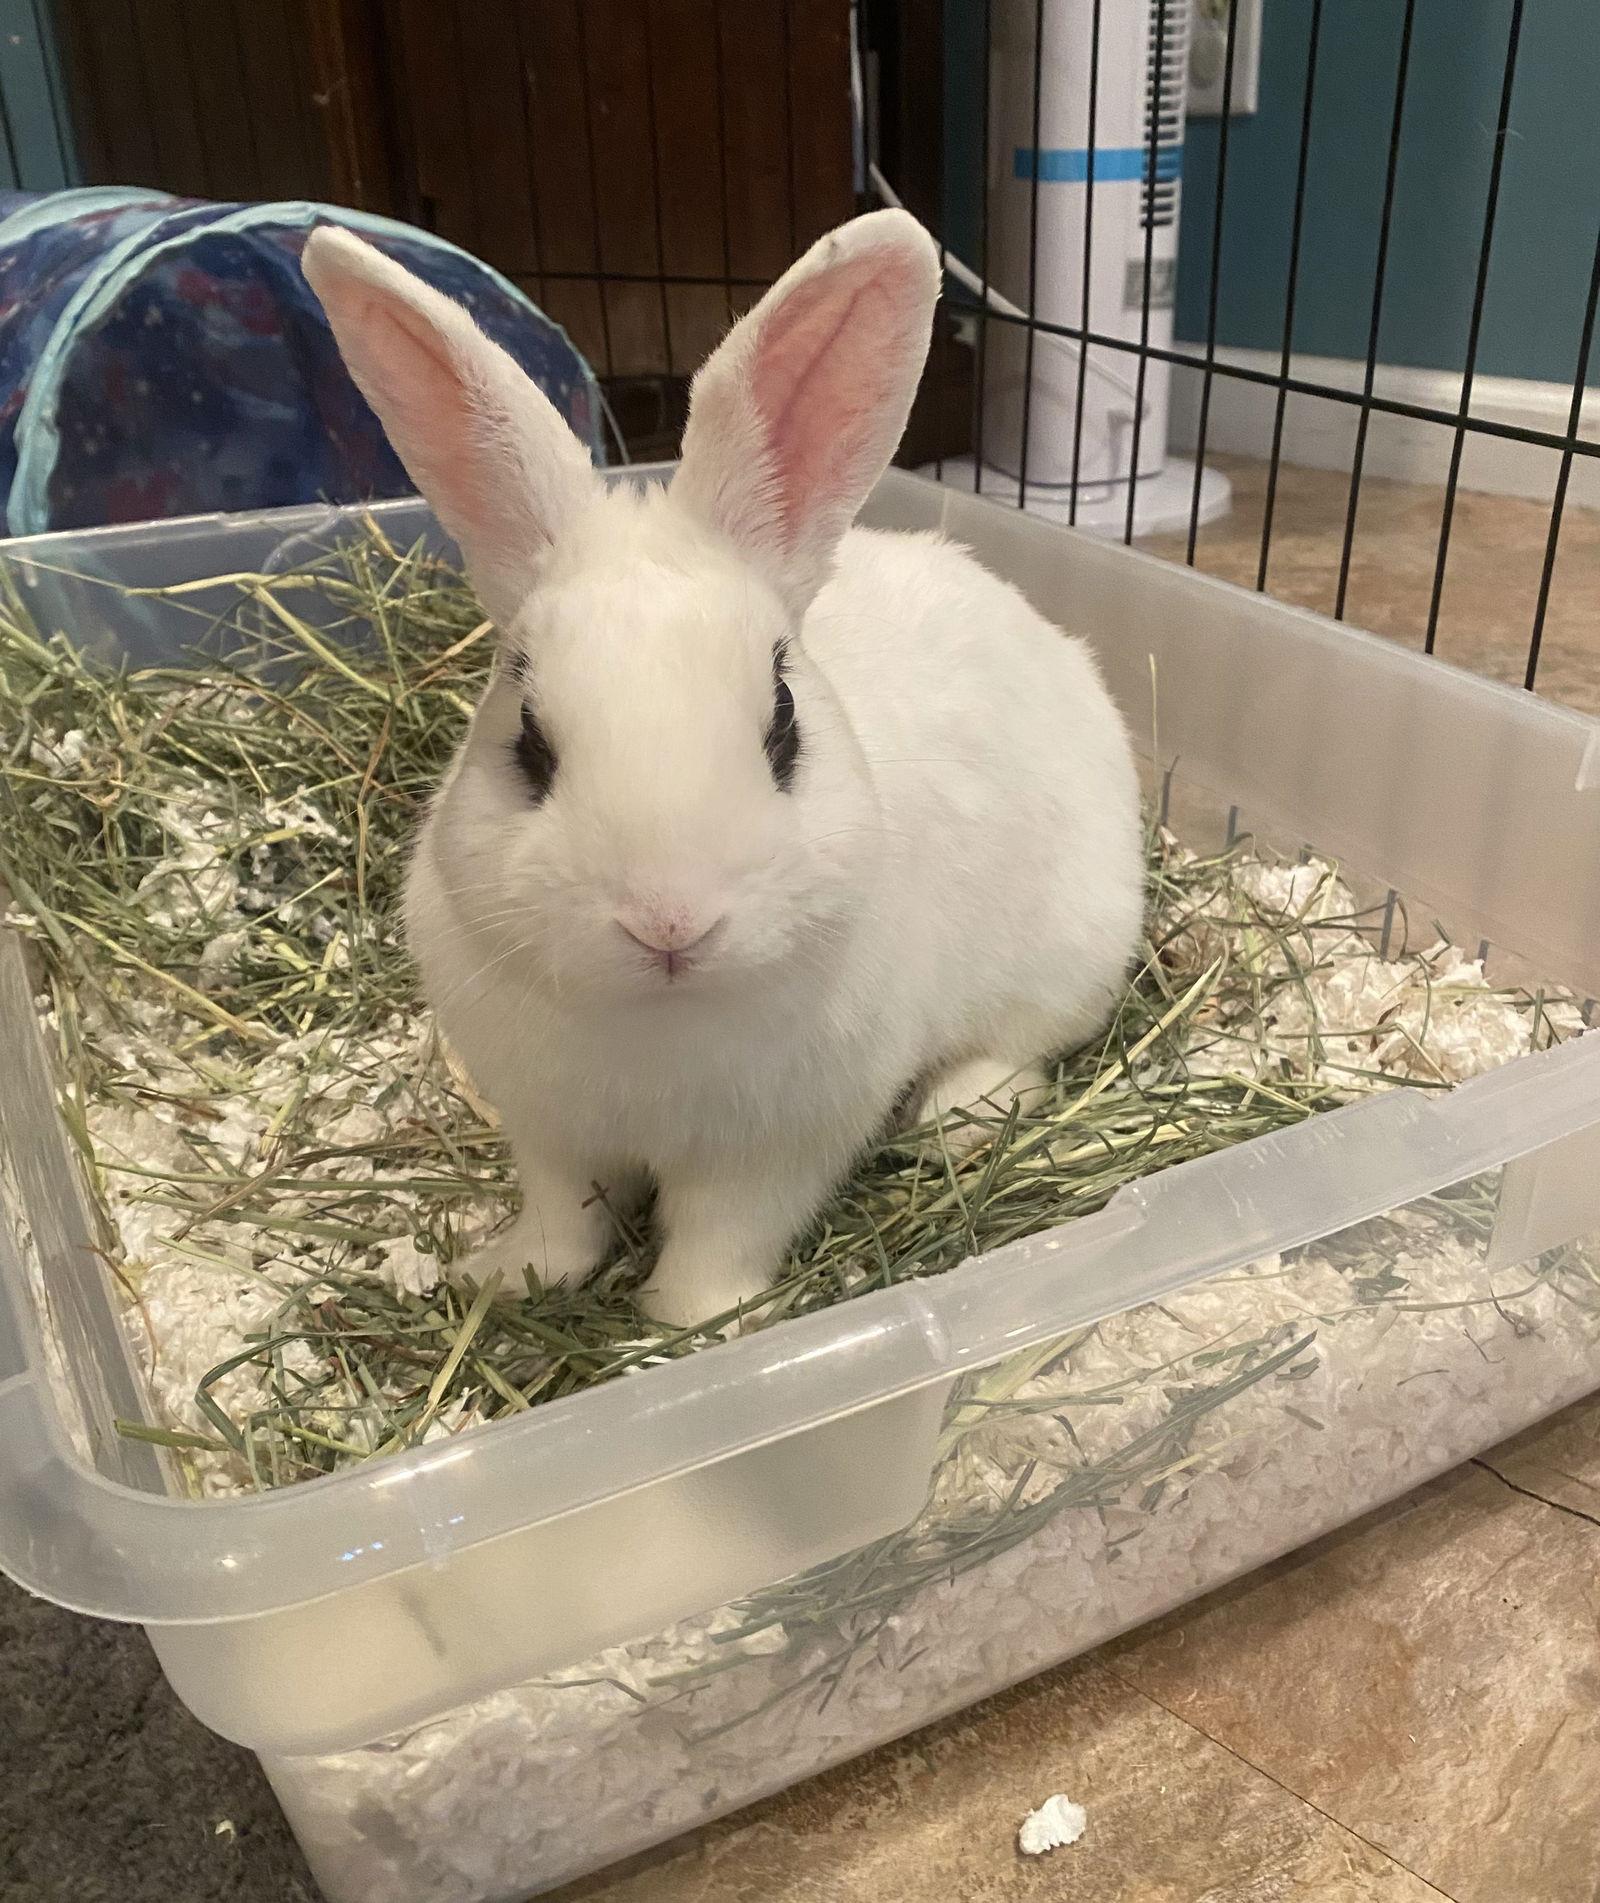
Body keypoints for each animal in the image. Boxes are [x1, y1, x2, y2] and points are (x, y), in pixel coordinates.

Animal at [301, 210, 1145, 1330]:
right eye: (527, 738)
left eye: (783, 724)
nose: (669, 923)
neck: (662, 1023)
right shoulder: (552, 1132)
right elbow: (563, 1213)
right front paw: (511, 1275)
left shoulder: (775, 1150)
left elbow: (720, 1235)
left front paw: (687, 1322)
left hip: (1068, 952)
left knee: (1022, 1044)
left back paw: (957, 1114)